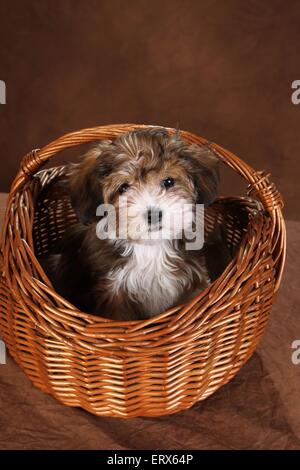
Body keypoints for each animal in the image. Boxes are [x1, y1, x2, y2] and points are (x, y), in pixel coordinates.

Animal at [41, 126, 225, 322]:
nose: (154, 214)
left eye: (168, 181)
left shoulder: (192, 282)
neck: (150, 247)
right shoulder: (114, 296)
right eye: (123, 188)